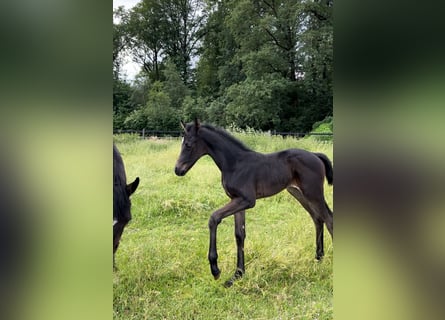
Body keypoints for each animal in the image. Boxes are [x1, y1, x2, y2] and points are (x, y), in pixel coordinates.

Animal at [175, 119, 332, 288]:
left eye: (188, 145)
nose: (177, 170)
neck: (235, 164)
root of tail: (315, 155)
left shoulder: (247, 200)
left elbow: (214, 218)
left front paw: (215, 270)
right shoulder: (236, 200)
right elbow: (239, 234)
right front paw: (237, 275)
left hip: (313, 193)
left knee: (329, 218)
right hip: (298, 192)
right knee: (317, 218)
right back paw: (318, 258)